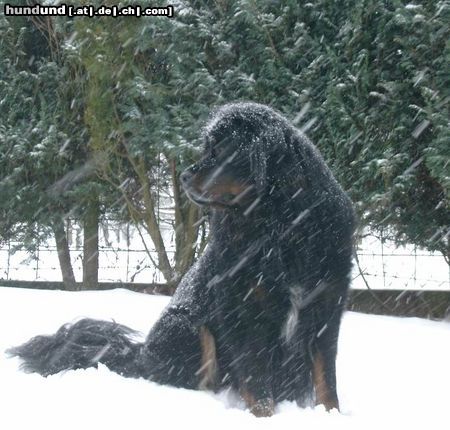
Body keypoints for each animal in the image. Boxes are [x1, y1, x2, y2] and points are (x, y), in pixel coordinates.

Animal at [7, 101, 356, 416]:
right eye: (207, 149)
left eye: (222, 150)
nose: (186, 176)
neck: (280, 225)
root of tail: (141, 354)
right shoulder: (243, 308)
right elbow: (257, 379)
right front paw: (264, 415)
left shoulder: (326, 304)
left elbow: (326, 376)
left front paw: (331, 415)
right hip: (186, 325)